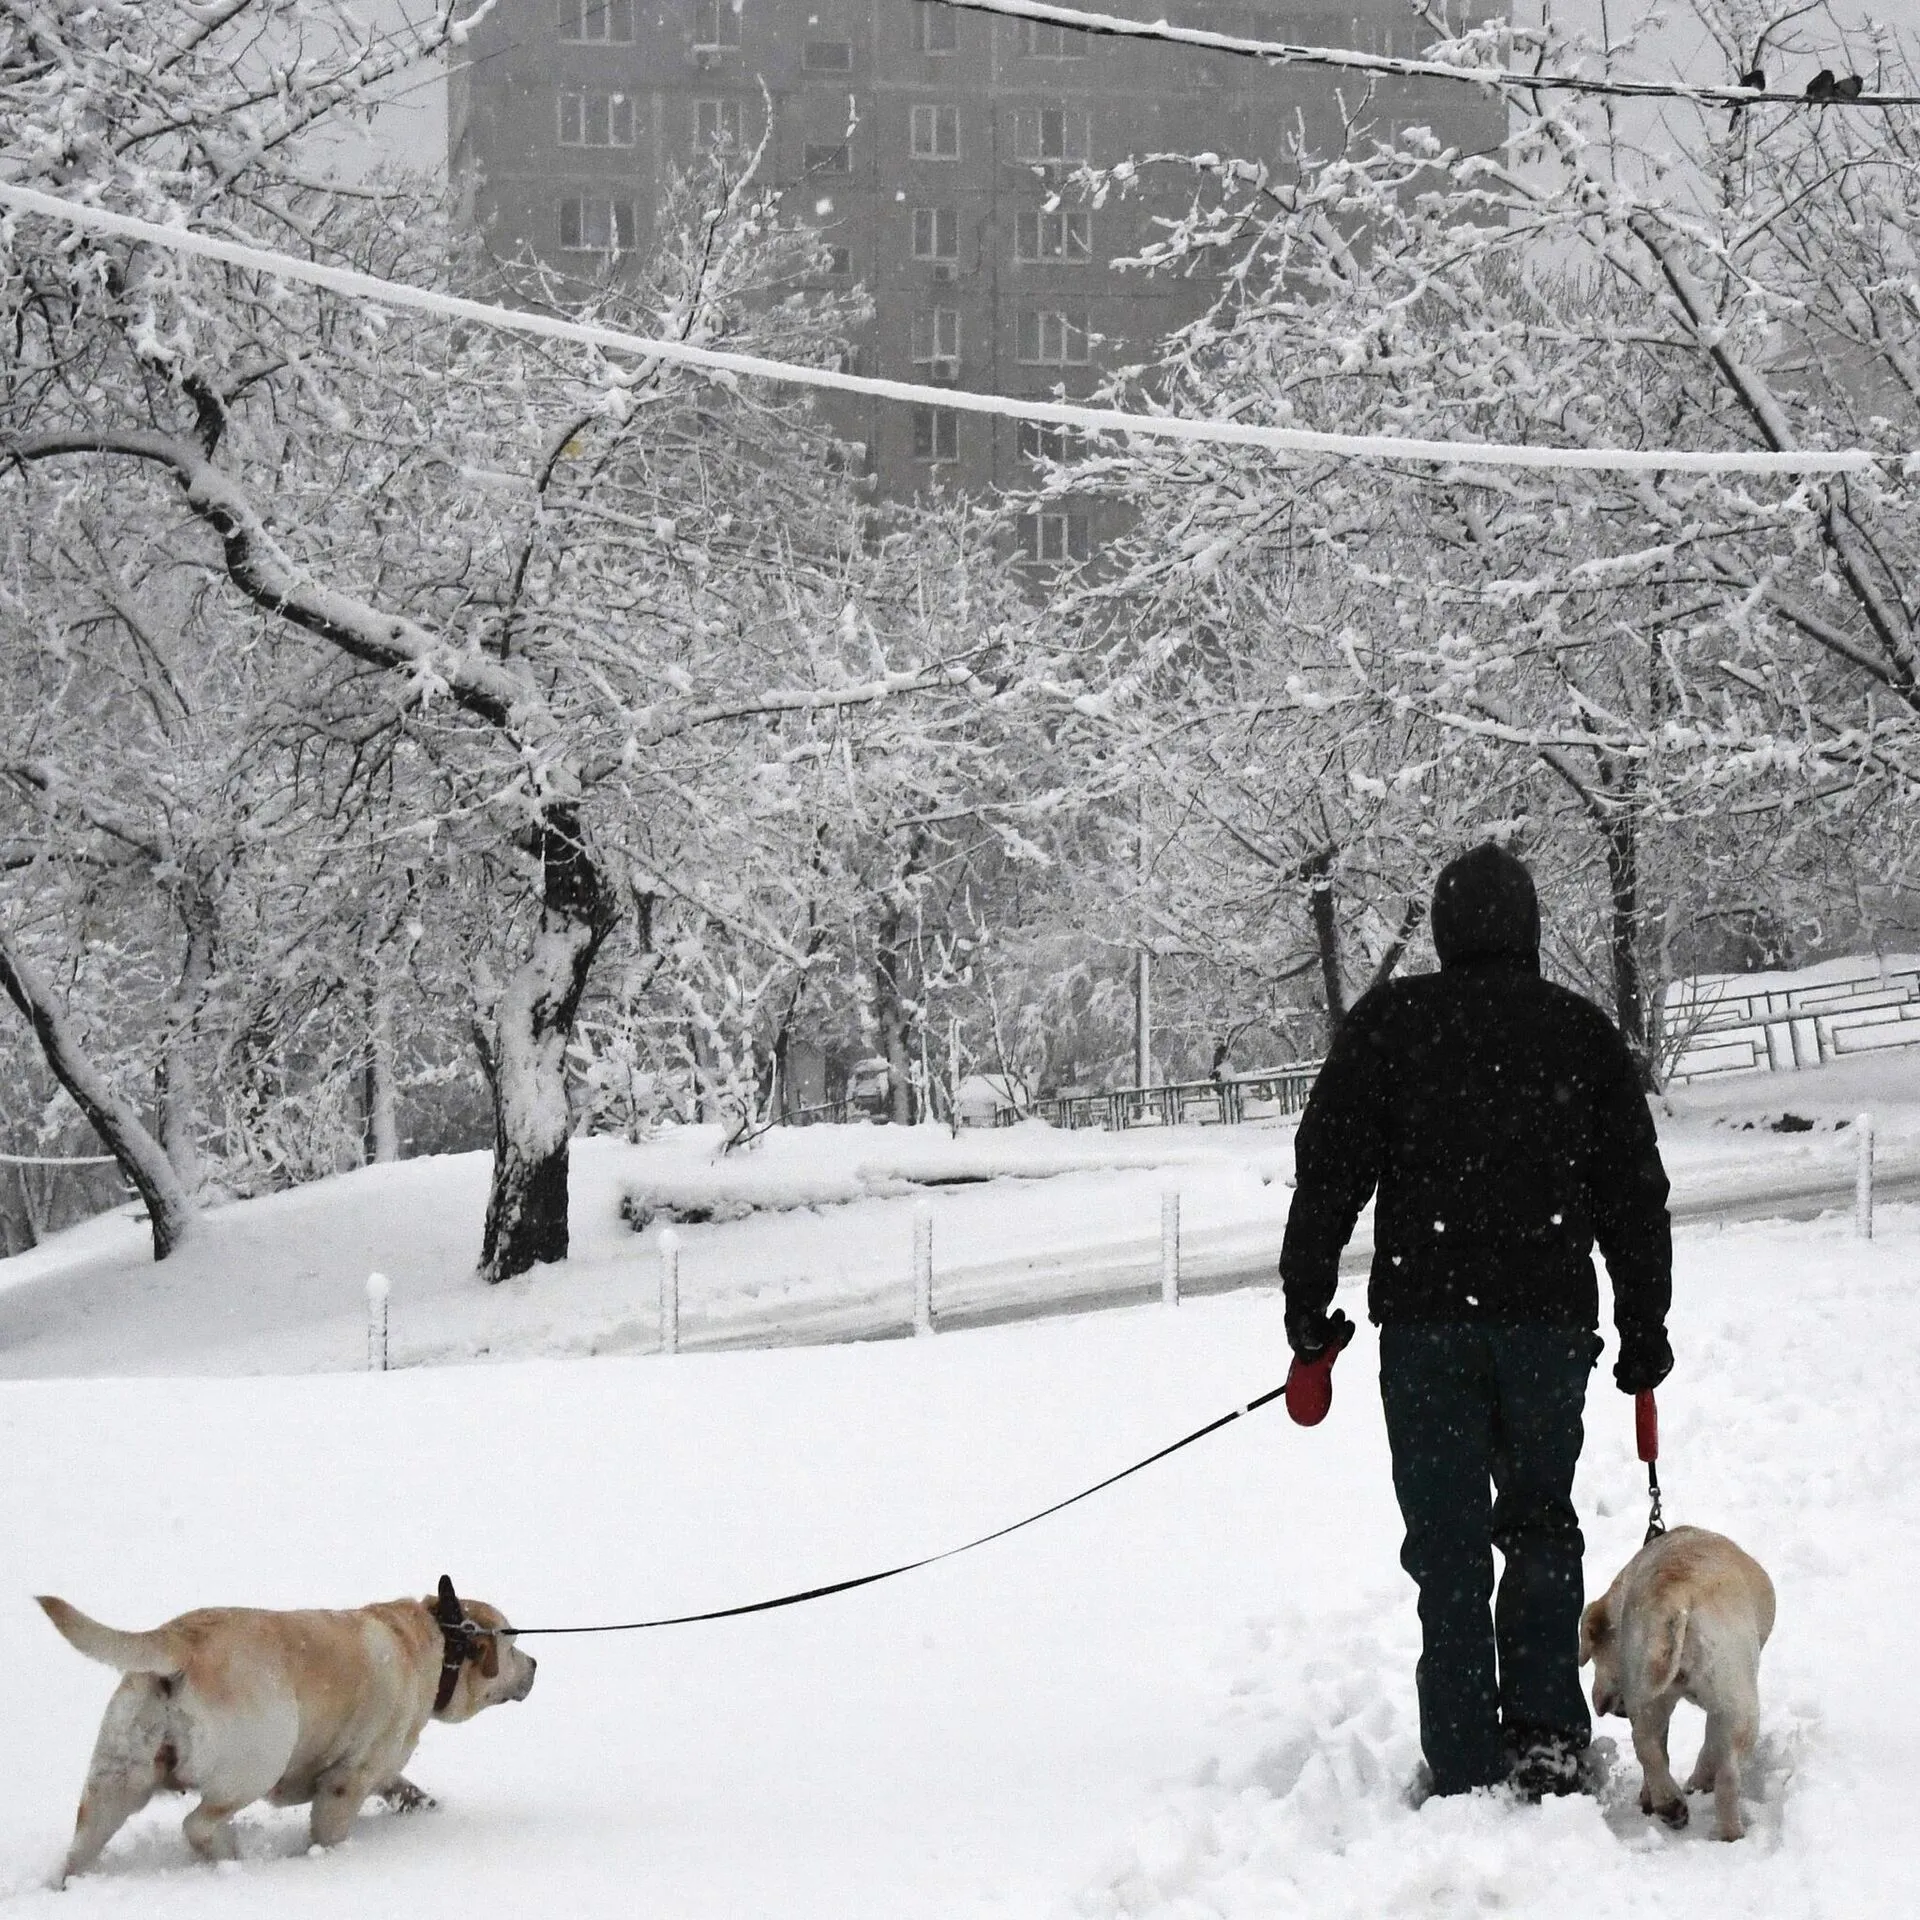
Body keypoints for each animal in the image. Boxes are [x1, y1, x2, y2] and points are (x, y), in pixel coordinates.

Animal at [37, 1582, 533, 1881]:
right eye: (511, 1646)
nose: (534, 1663)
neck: (440, 1640)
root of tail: (182, 1640)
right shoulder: (349, 1776)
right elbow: (331, 1830)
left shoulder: (380, 1768)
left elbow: (403, 1786)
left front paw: (425, 1805)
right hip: (258, 1762)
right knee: (198, 1823)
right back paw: (231, 1858)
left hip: (113, 1781)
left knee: (80, 1847)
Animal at [1582, 1520, 1774, 1835]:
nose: (1600, 1703)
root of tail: (1675, 1597)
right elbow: (1710, 1743)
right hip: (1738, 1698)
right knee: (1727, 1771)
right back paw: (1725, 1830)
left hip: (1647, 1689)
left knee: (1647, 1745)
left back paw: (1673, 1807)